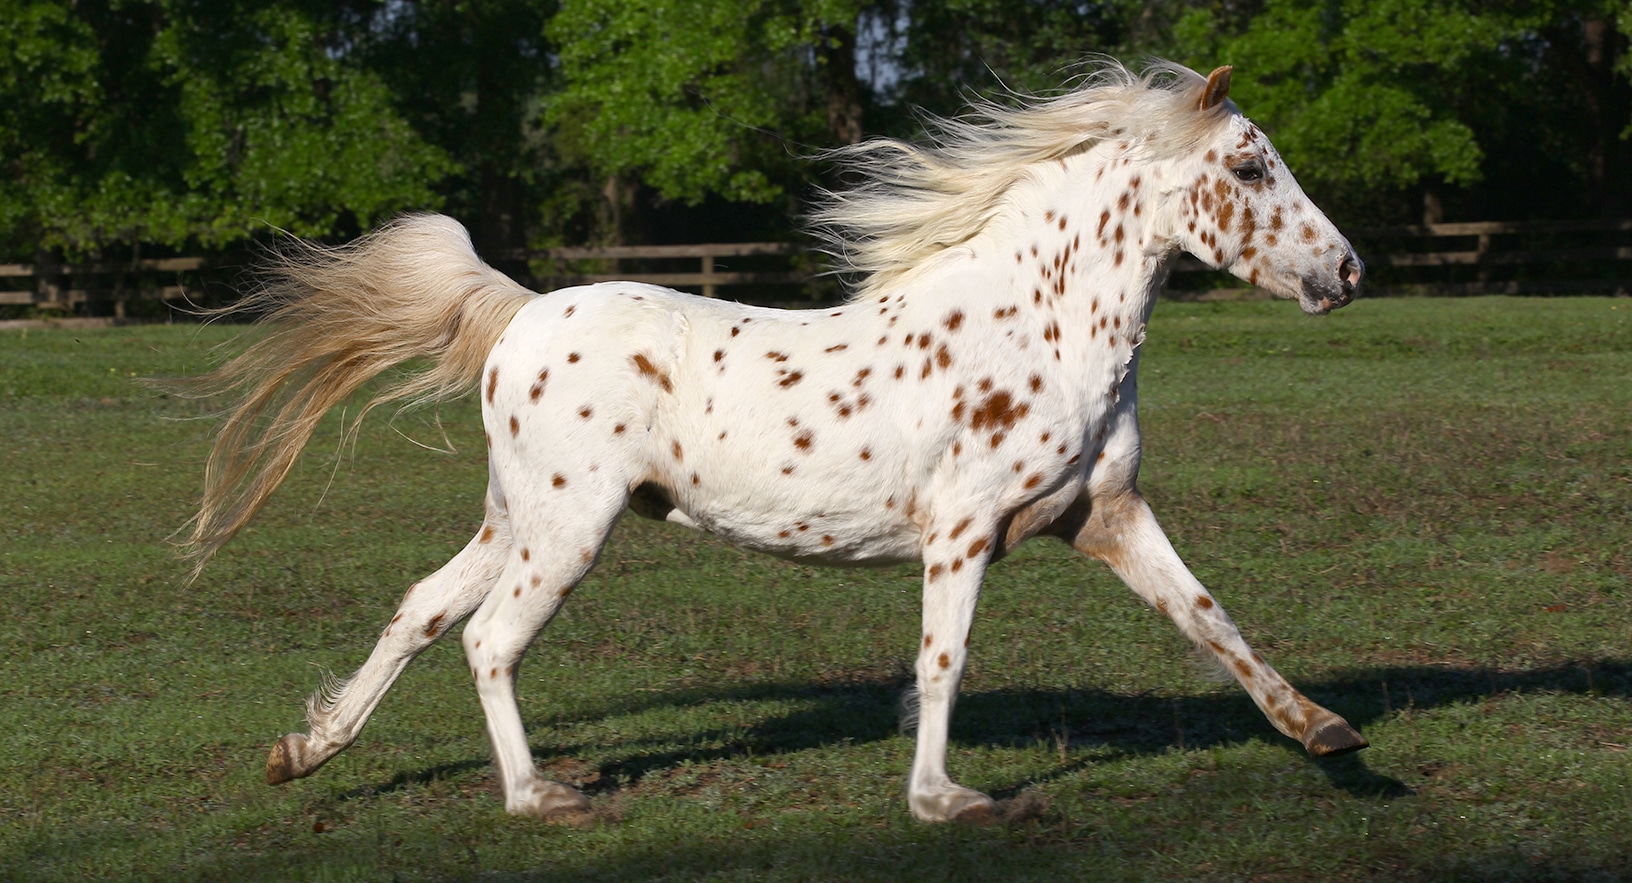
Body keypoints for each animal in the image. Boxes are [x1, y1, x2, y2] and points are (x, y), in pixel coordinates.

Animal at [182, 61, 1366, 823]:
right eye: (1251, 167)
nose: (1347, 270)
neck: (1039, 325)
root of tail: (519, 314)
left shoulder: (1107, 516)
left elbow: (1214, 620)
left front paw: (1328, 732)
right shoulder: (963, 530)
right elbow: (943, 660)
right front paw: (945, 799)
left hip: (513, 517)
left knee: (424, 609)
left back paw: (306, 750)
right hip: (567, 527)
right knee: (489, 640)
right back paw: (537, 796)